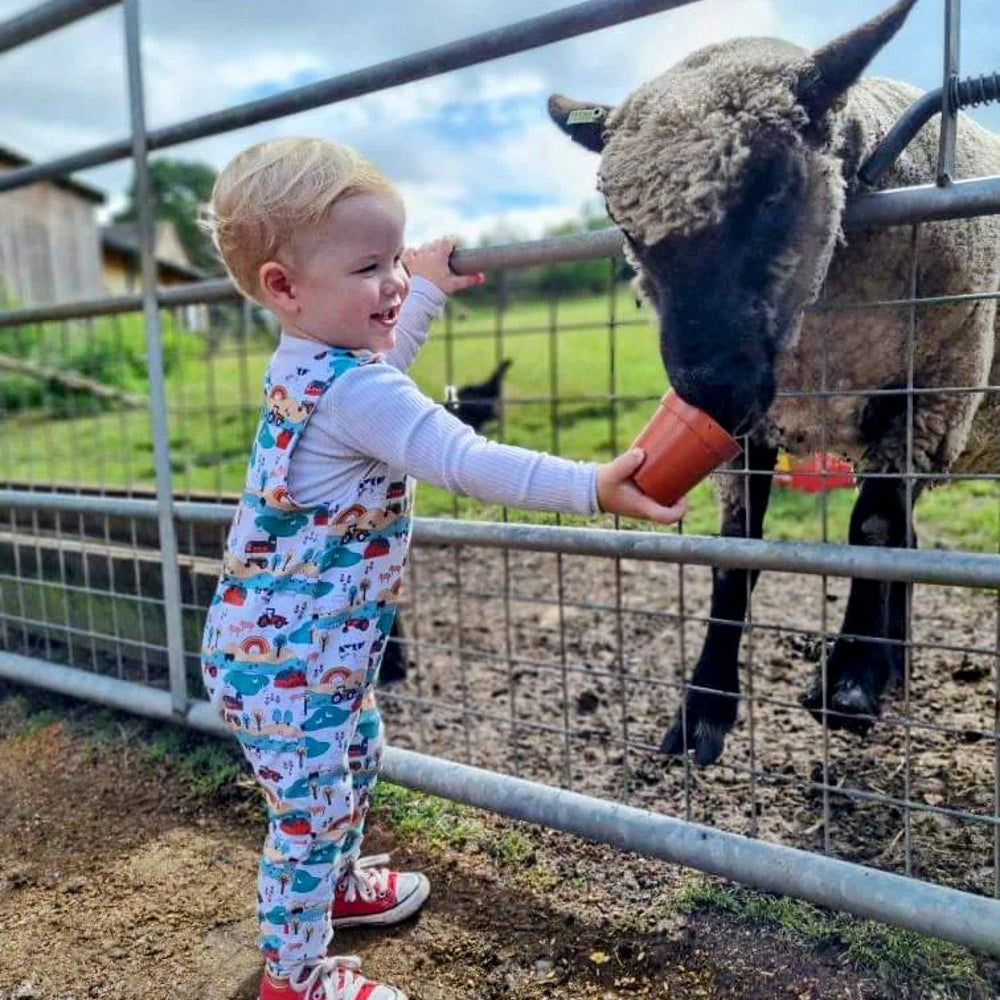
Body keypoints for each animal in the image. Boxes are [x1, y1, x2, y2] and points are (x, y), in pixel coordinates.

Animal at [552, 0, 1000, 764]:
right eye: (620, 223)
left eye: (771, 185)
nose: (707, 390)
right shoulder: (754, 429)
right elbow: (737, 551)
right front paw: (702, 709)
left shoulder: (938, 390)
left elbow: (873, 525)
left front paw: (848, 682)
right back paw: (897, 666)